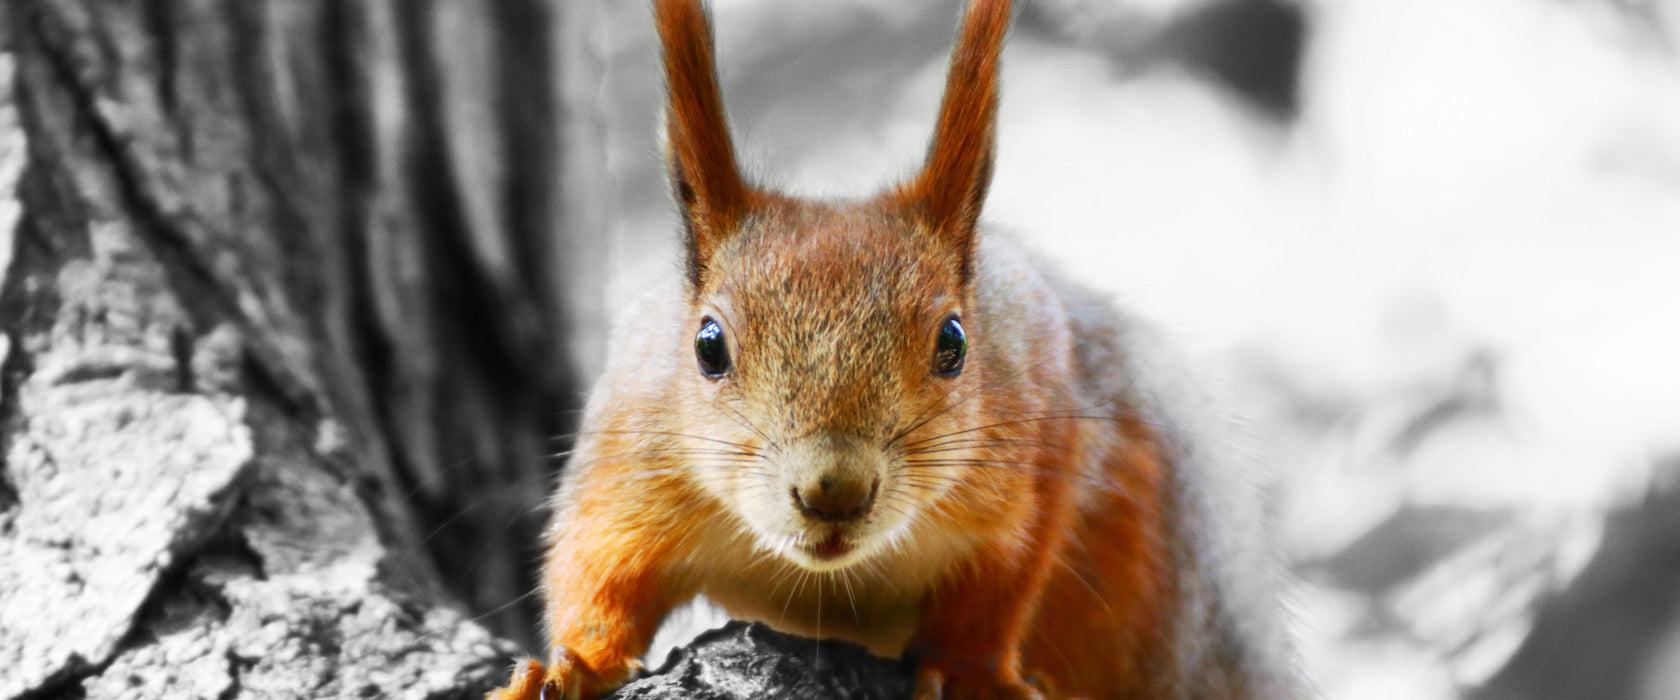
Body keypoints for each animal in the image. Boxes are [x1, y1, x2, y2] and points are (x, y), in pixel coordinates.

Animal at [487, 0, 1296, 694]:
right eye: (708, 346)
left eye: (955, 341)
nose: (833, 491)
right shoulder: (630, 455)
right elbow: (597, 574)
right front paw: (573, 666)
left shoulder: (1041, 438)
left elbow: (999, 588)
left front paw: (971, 676)